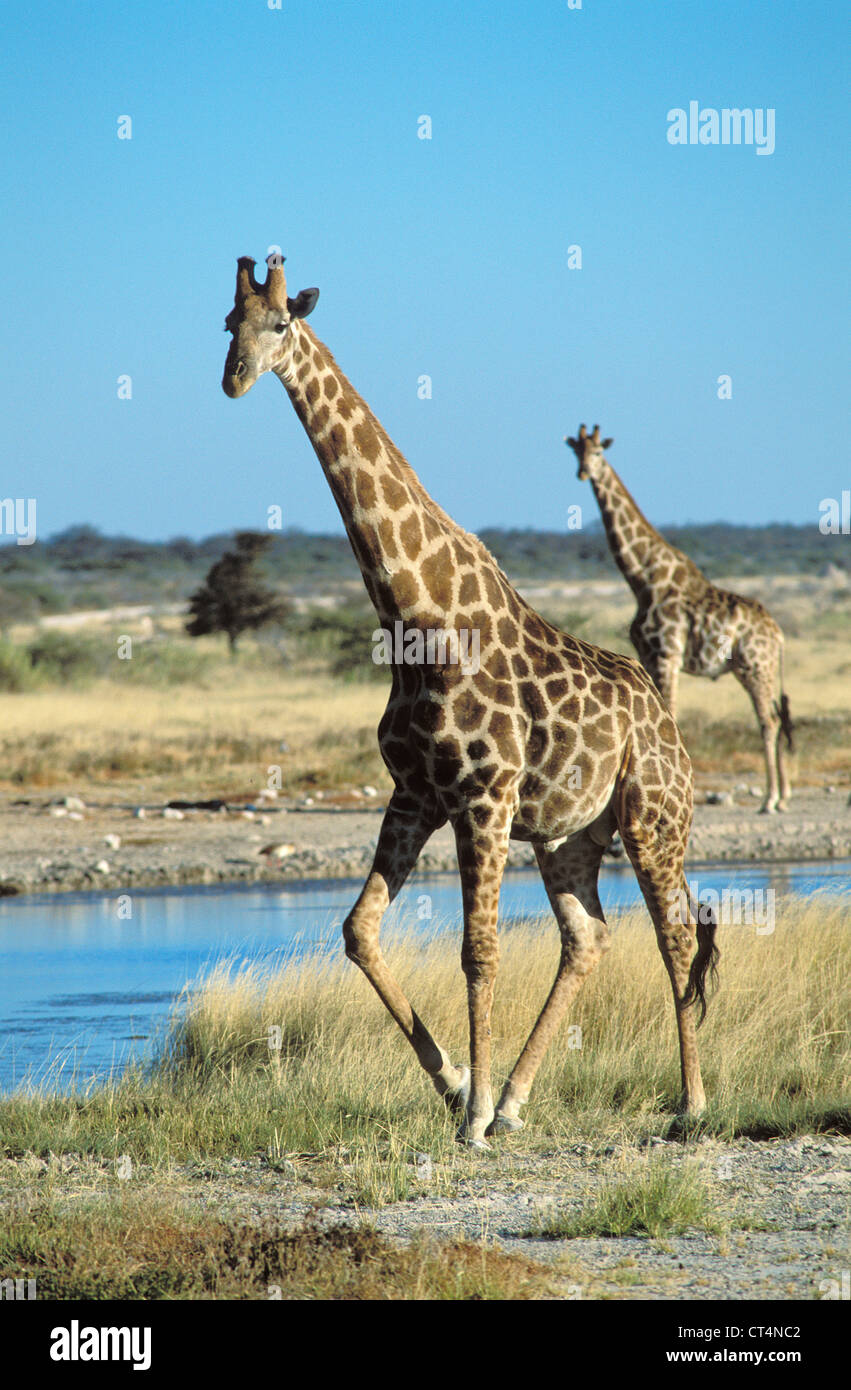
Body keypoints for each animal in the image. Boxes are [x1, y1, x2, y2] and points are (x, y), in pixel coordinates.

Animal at [222, 256, 718, 1148]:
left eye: (278, 324)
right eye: (225, 323)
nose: (235, 378)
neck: (414, 612)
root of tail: (665, 720)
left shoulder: (481, 797)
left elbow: (478, 950)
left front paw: (471, 1116)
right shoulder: (415, 792)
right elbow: (358, 932)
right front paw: (458, 1087)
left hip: (651, 817)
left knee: (671, 932)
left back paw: (689, 1102)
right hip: (567, 835)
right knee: (587, 937)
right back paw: (519, 1097)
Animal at [566, 425, 793, 814]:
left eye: (598, 452)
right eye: (576, 452)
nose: (582, 473)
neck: (641, 576)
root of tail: (777, 635)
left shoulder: (667, 655)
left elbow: (670, 713)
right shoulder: (647, 656)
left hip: (754, 667)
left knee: (769, 720)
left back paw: (770, 799)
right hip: (757, 669)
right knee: (776, 718)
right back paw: (783, 796)